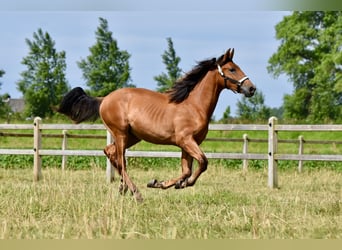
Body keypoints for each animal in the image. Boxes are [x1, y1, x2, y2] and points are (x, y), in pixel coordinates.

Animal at [57, 48, 255, 201]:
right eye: (232, 69)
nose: (251, 88)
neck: (193, 105)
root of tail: (104, 99)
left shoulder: (187, 144)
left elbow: (187, 170)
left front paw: (168, 183)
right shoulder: (186, 140)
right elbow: (203, 163)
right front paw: (166, 183)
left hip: (132, 137)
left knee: (110, 152)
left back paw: (123, 188)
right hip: (121, 134)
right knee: (120, 159)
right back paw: (136, 193)